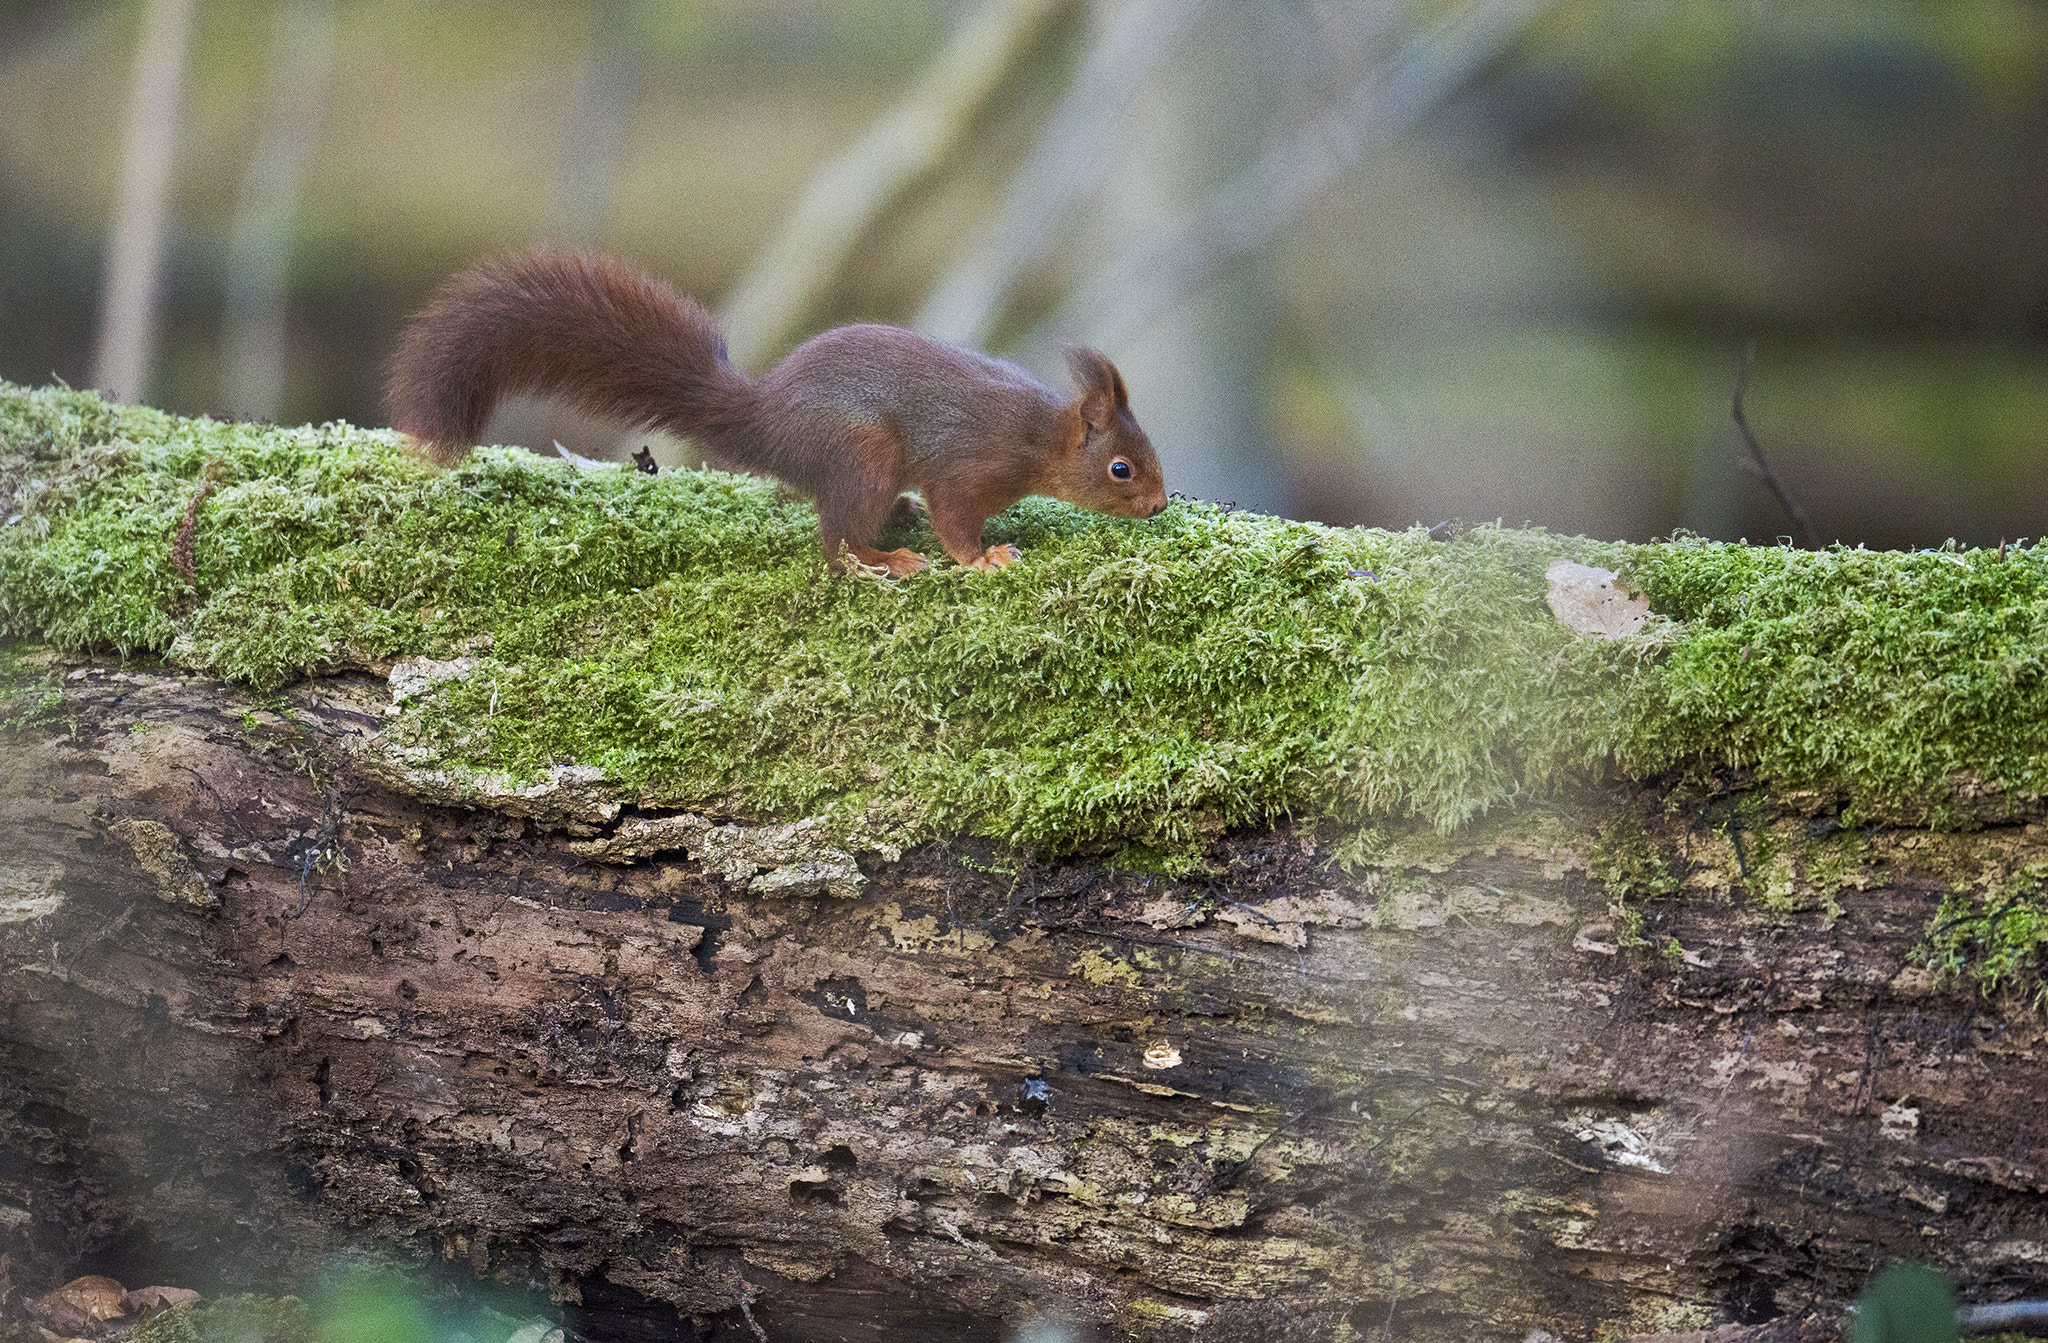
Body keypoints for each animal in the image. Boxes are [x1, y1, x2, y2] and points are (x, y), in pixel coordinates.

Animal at [385, 248, 1171, 573]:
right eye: (1122, 469)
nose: (1162, 505)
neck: (1037, 437)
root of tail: (766, 422)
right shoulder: (968, 464)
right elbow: (954, 516)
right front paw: (984, 557)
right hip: (864, 452)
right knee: (835, 541)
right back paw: (881, 559)